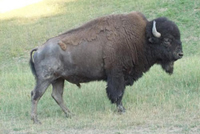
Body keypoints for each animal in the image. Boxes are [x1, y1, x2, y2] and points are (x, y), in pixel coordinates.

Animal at [29, 11, 183, 123]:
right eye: (167, 40)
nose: (180, 54)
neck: (142, 38)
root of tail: (39, 48)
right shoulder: (116, 75)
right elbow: (117, 93)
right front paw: (122, 110)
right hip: (45, 79)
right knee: (35, 95)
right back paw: (36, 120)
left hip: (58, 80)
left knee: (57, 95)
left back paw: (70, 114)